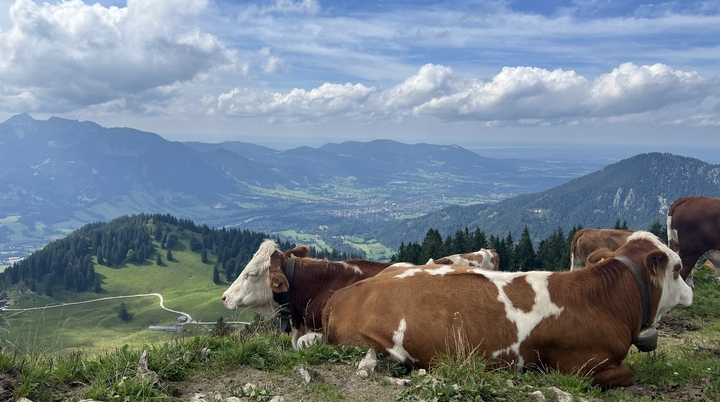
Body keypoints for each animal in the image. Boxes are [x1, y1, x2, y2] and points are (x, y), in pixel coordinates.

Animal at [322, 231, 692, 388]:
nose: (690, 291)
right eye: (677, 268)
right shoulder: (583, 366)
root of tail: (341, 295)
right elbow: (625, 374)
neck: (603, 300)